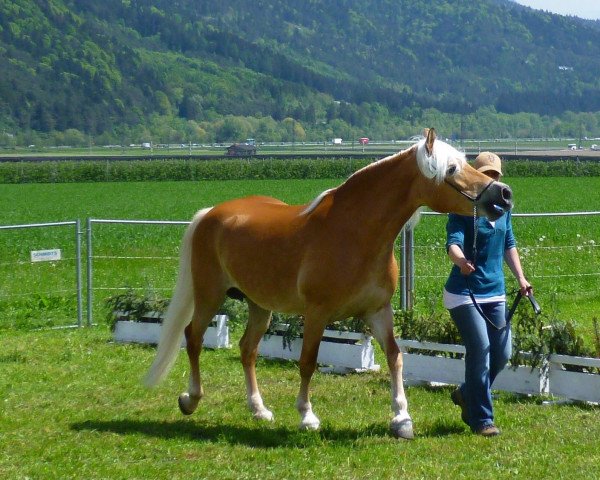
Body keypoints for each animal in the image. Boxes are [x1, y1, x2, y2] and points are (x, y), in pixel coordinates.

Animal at [144, 127, 510, 438]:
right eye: (451, 169)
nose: (503, 195)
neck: (353, 233)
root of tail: (210, 213)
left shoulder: (378, 311)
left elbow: (395, 356)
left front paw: (401, 418)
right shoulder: (317, 314)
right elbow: (308, 362)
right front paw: (307, 417)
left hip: (258, 305)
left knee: (247, 350)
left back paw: (259, 410)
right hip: (209, 295)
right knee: (193, 338)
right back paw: (191, 399)